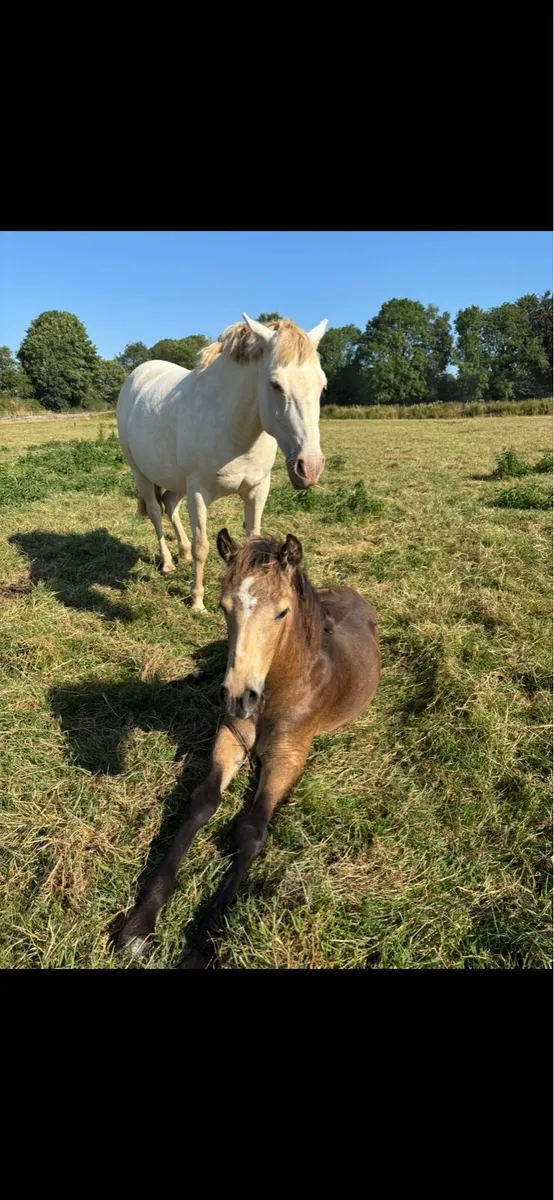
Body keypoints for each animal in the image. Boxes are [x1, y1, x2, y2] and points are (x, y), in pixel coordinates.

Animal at [116, 313, 328, 610]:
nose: (309, 467)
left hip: (176, 481)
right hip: (141, 474)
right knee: (156, 512)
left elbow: (252, 540)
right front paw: (197, 601)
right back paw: (168, 563)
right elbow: (202, 546)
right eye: (275, 384)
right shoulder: (198, 492)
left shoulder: (257, 490)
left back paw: (182, 553)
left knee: (170, 504)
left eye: (322, 385)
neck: (235, 430)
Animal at [116, 528, 380, 968]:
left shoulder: (288, 756)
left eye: (282, 613)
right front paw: (140, 924)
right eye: (224, 607)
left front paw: (202, 942)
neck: (283, 686)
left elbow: (252, 828)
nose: (239, 697)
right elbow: (202, 802)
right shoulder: (230, 736)